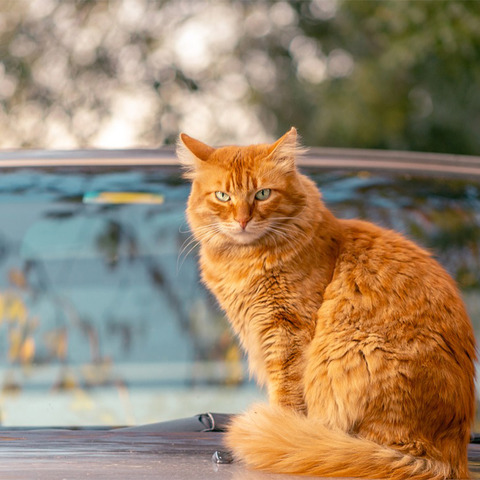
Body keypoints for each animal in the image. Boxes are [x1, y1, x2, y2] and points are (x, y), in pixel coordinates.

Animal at [176, 127, 476, 480]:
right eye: (223, 197)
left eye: (262, 194)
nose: (242, 221)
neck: (245, 261)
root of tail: (449, 458)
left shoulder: (286, 332)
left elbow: (286, 397)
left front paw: (279, 427)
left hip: (353, 351)